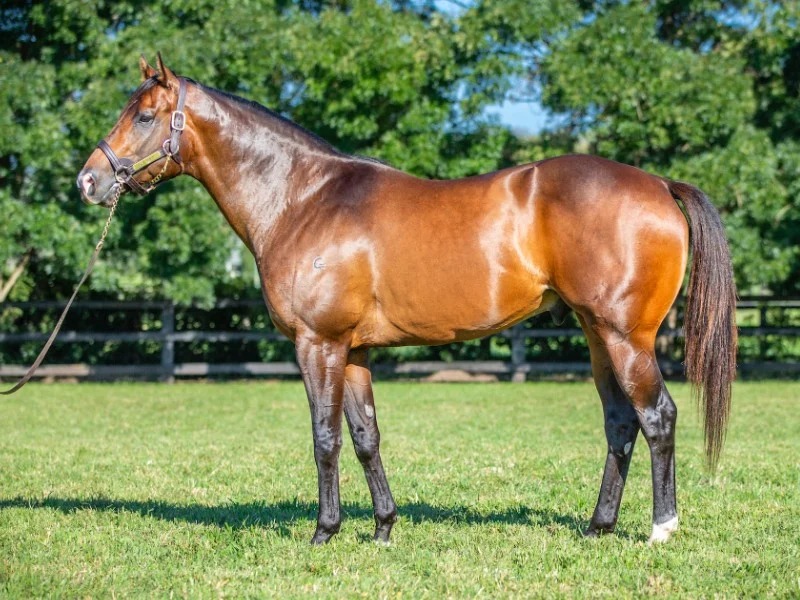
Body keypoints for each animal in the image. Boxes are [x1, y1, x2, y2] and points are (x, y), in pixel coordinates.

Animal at [77, 55, 737, 545]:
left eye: (144, 116)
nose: (89, 181)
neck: (302, 198)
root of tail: (658, 184)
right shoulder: (354, 352)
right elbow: (365, 436)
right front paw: (383, 528)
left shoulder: (318, 345)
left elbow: (324, 437)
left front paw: (324, 531)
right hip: (598, 335)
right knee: (621, 422)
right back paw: (599, 527)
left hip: (626, 338)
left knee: (657, 417)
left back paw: (661, 528)